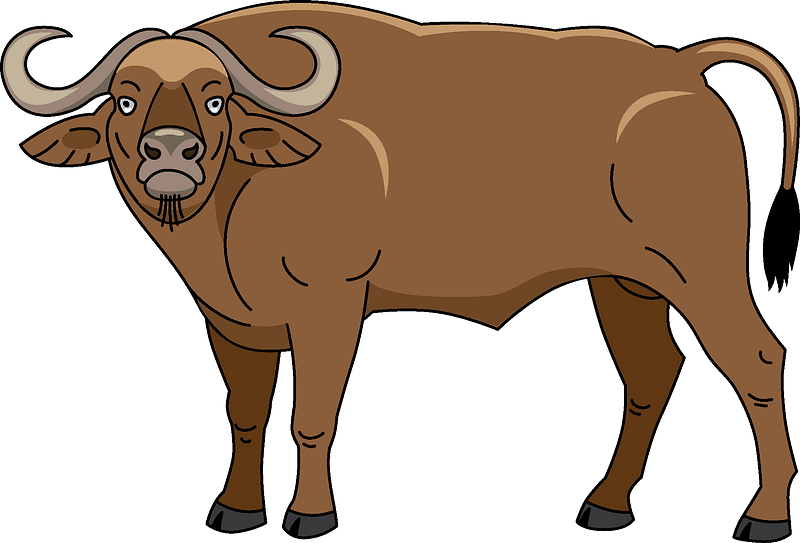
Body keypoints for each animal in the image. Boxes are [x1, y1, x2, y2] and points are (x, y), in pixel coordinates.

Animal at [2, 2, 799, 541]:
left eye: (215, 97)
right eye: (125, 98)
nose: (171, 151)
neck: (241, 200)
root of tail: (681, 64)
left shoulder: (329, 309)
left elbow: (311, 418)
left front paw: (310, 515)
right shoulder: (231, 320)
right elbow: (245, 414)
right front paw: (235, 509)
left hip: (703, 275)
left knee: (757, 360)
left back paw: (764, 516)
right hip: (625, 285)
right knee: (652, 373)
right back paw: (606, 505)